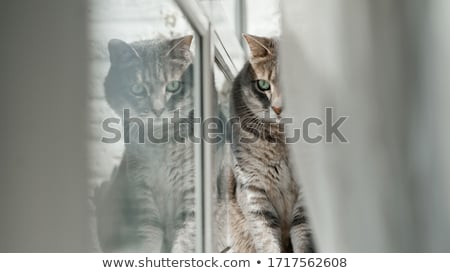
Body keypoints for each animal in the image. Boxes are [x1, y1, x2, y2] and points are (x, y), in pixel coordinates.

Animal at [96, 35, 195, 252]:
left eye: (173, 86)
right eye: (138, 89)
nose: (158, 110)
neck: (160, 139)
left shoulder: (192, 191)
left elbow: (185, 238)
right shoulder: (142, 192)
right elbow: (148, 236)